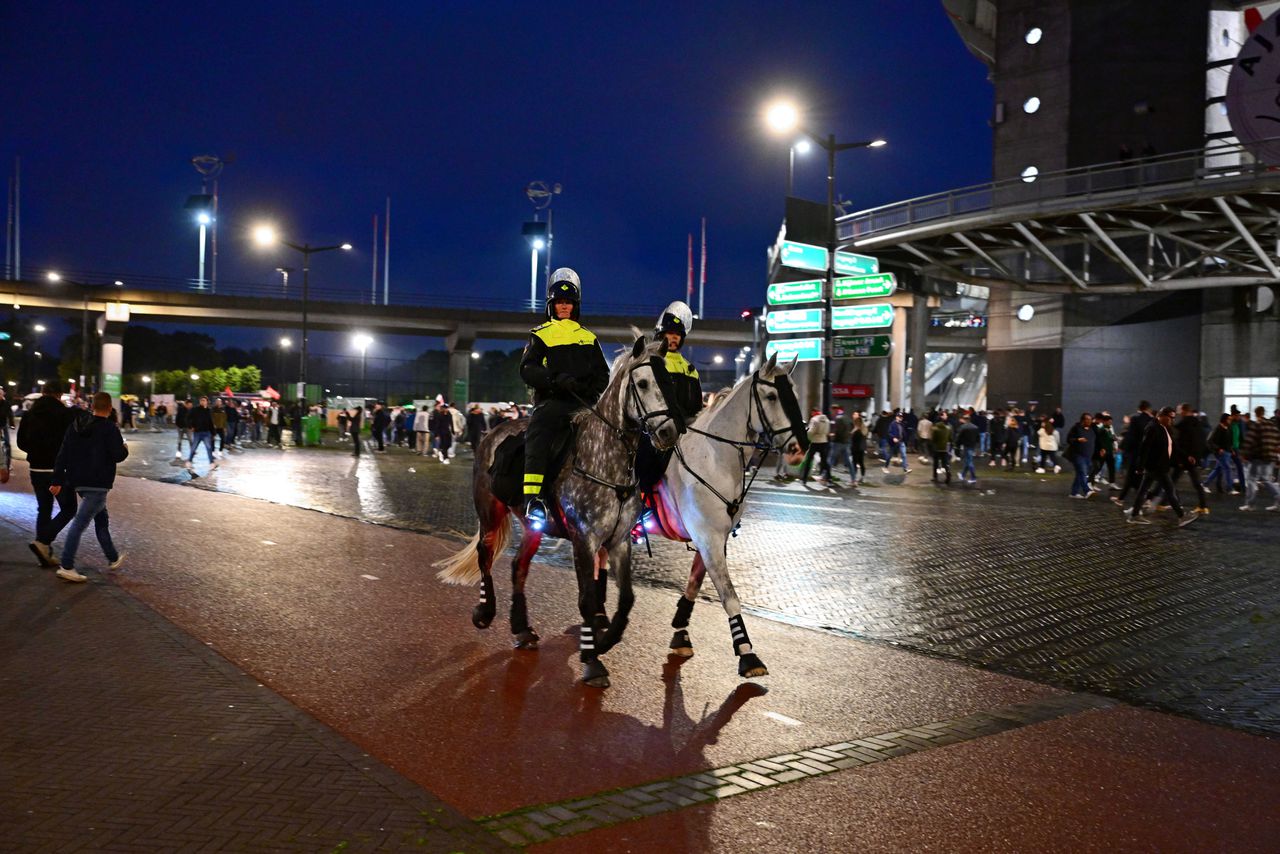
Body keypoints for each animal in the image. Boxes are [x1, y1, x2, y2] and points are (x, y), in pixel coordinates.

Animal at [640, 353, 808, 676]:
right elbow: (730, 597)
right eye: (771, 396)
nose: (798, 449)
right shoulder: (708, 539)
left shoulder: (714, 539)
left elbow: (695, 583)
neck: (713, 459)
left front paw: (681, 629)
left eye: (793, 392)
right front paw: (747, 653)